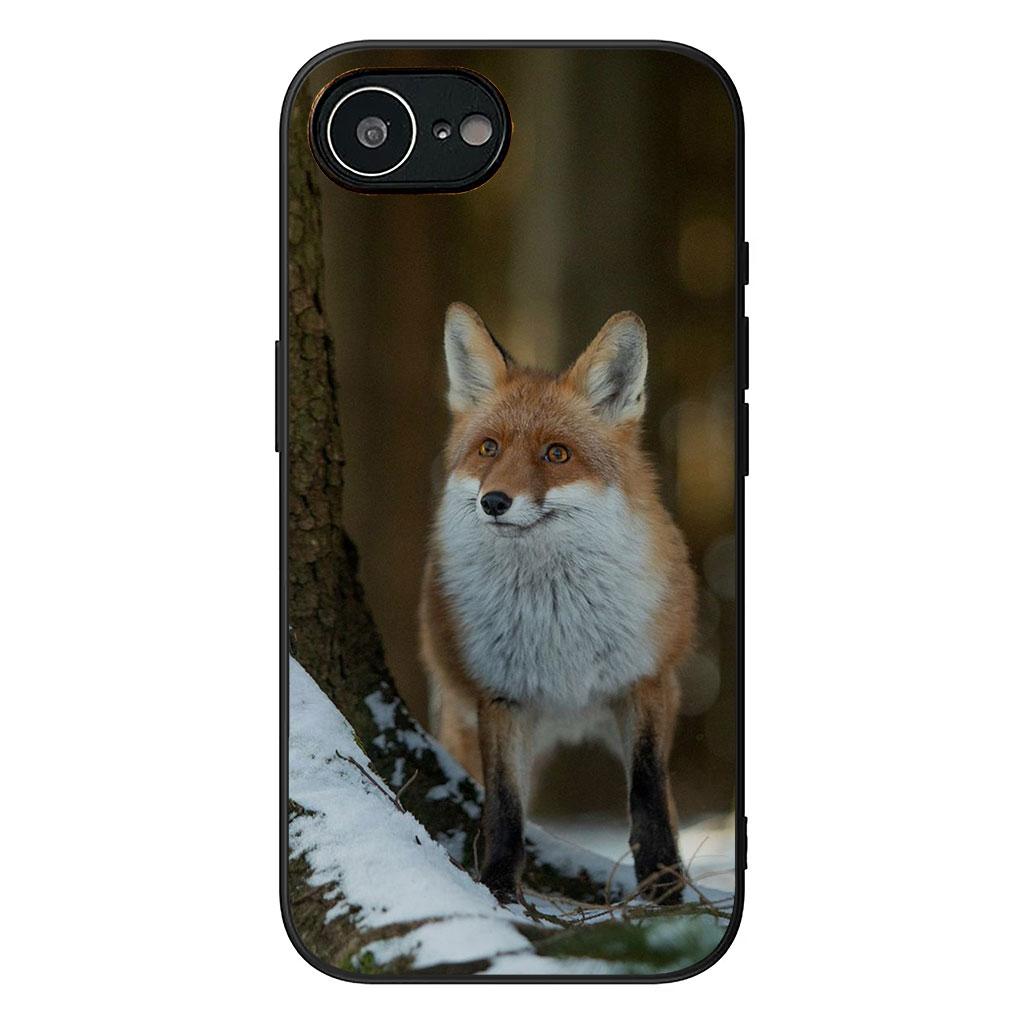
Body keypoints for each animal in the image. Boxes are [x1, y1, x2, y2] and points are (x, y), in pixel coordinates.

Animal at [419, 302, 698, 902]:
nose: (494, 502)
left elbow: (648, 797)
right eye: (489, 448)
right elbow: (504, 809)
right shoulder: (501, 697)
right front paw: (498, 888)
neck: (556, 625)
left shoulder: (647, 683)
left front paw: (664, 890)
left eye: (557, 454)